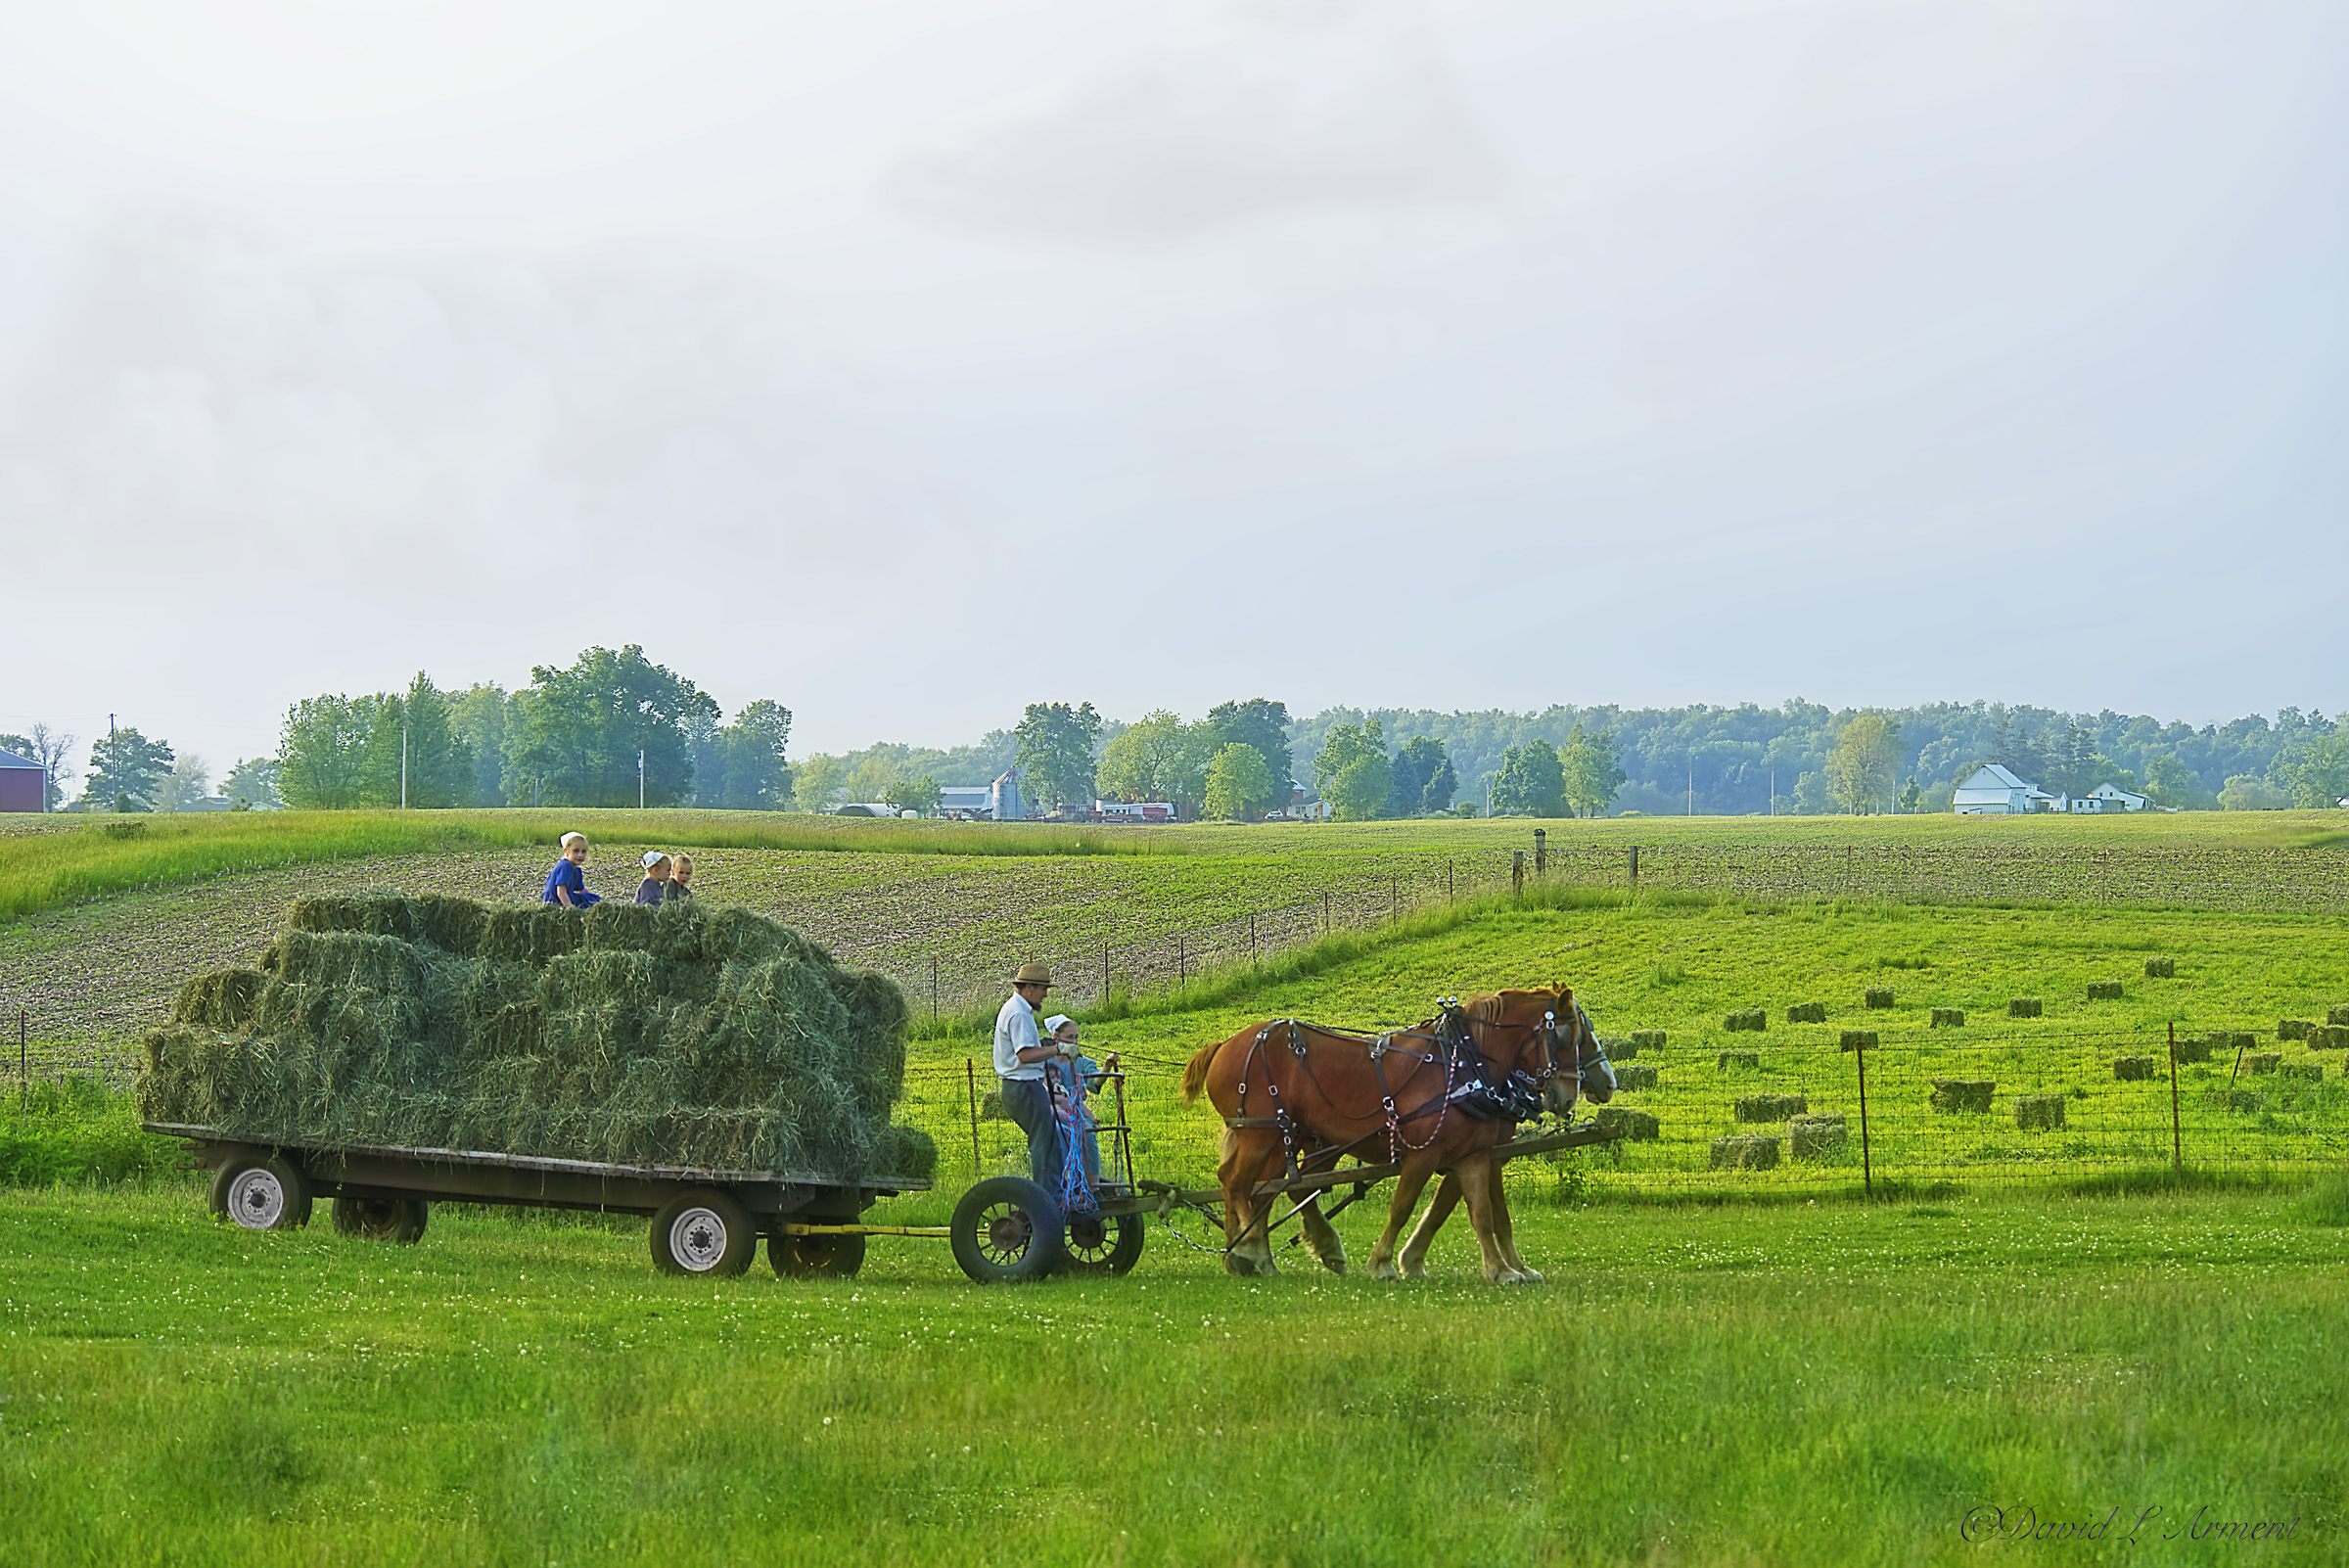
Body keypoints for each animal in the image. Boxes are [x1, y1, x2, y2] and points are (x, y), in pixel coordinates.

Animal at [1174, 986, 1597, 1276]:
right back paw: (1248, 1250)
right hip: (1261, 1134)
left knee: (1264, 1188)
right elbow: (1403, 1206)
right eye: (1566, 1037)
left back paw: (1258, 1256)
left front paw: (1502, 1271)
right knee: (1236, 1183)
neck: (1462, 1063)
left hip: (1280, 1139)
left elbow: (1482, 1213)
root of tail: (1226, 1044)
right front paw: (1383, 1263)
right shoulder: (1424, 1153)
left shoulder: (1474, 1155)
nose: (1569, 1095)